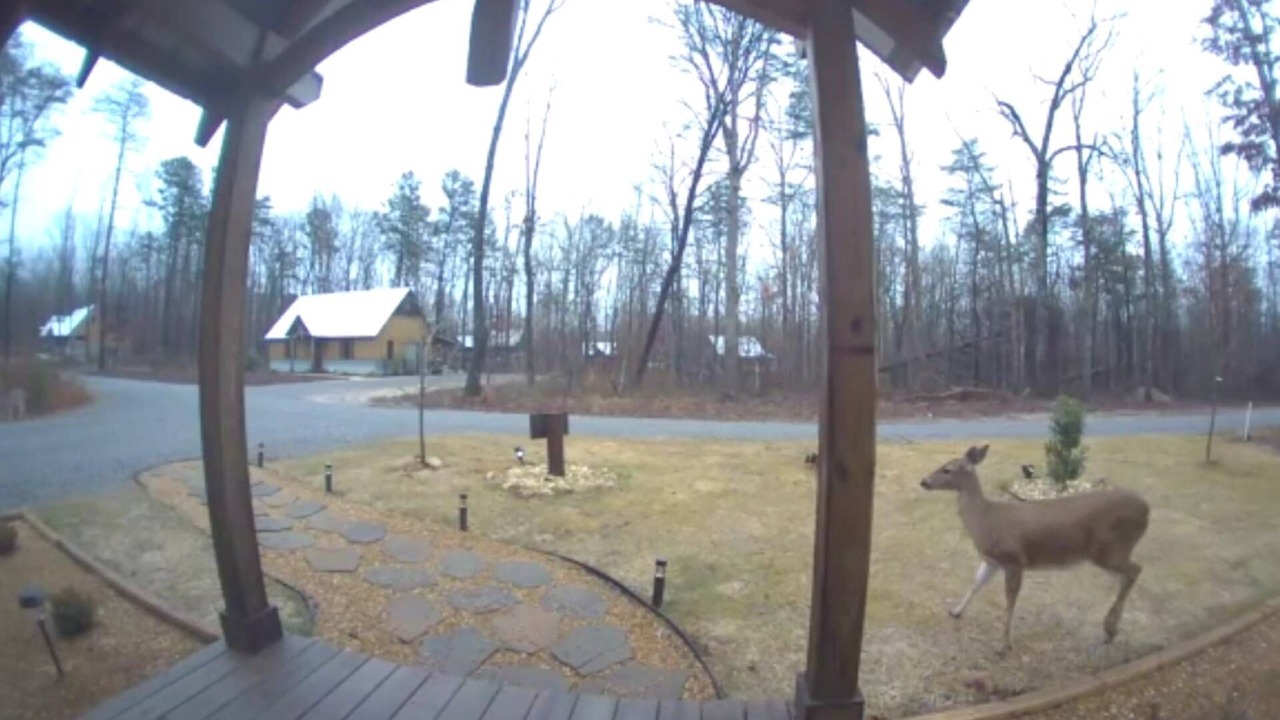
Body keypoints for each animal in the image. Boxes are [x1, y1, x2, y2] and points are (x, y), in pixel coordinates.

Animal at [920, 444, 1150, 654]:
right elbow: (976, 583)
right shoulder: (992, 560)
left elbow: (1010, 600)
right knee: (1126, 576)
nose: (924, 482)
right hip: (1111, 551)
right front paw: (956, 611)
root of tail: (1147, 509)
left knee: (1135, 570)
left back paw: (1109, 629)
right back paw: (1111, 630)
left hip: (1109, 548)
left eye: (947, 469)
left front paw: (1004, 645)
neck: (986, 519)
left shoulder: (1014, 559)